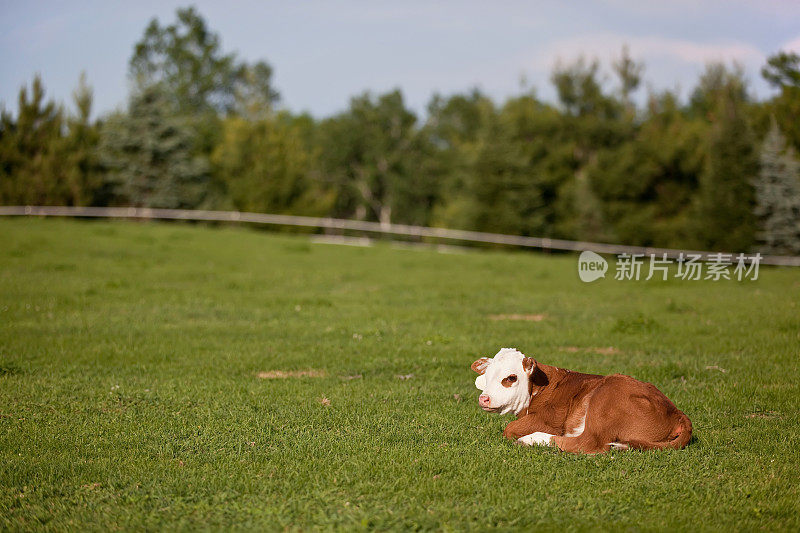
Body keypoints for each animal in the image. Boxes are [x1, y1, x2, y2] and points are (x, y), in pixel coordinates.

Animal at [472, 350, 692, 454]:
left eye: (511, 377)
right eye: (487, 375)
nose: (484, 398)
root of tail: (676, 411)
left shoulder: (550, 420)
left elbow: (509, 429)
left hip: (605, 399)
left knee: (589, 443)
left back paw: (531, 440)